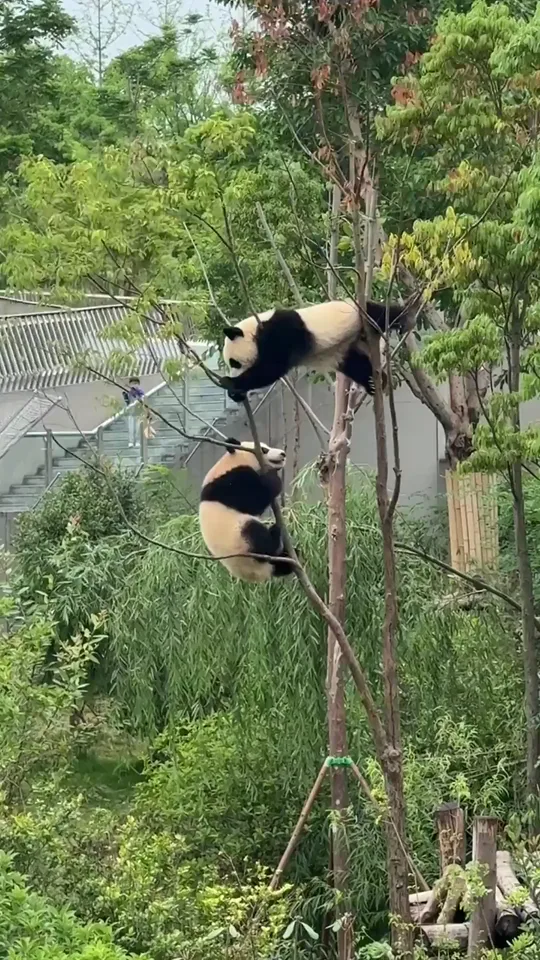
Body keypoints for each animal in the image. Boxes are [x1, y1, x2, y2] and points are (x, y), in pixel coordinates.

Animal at [199, 438, 293, 583]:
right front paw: (272, 478)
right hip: (240, 539)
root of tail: (259, 571)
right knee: (257, 536)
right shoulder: (229, 483)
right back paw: (275, 535)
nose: (283, 454)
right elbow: (253, 499)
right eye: (264, 449)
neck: (228, 463)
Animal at [220, 299, 404, 402]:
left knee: (382, 314)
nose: (233, 373)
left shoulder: (282, 331)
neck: (255, 329)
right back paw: (375, 383)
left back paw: (405, 320)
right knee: (356, 365)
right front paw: (236, 393)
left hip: (358, 315)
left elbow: (271, 367)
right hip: (345, 346)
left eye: (234, 363)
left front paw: (230, 382)